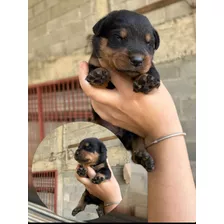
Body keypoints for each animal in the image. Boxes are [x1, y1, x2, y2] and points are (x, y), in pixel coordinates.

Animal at [86, 10, 159, 172]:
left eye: (149, 43)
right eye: (119, 38)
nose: (137, 60)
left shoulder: (150, 64)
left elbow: (152, 69)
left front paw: (146, 80)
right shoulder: (93, 62)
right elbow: (97, 71)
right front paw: (99, 75)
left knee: (137, 144)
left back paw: (143, 157)